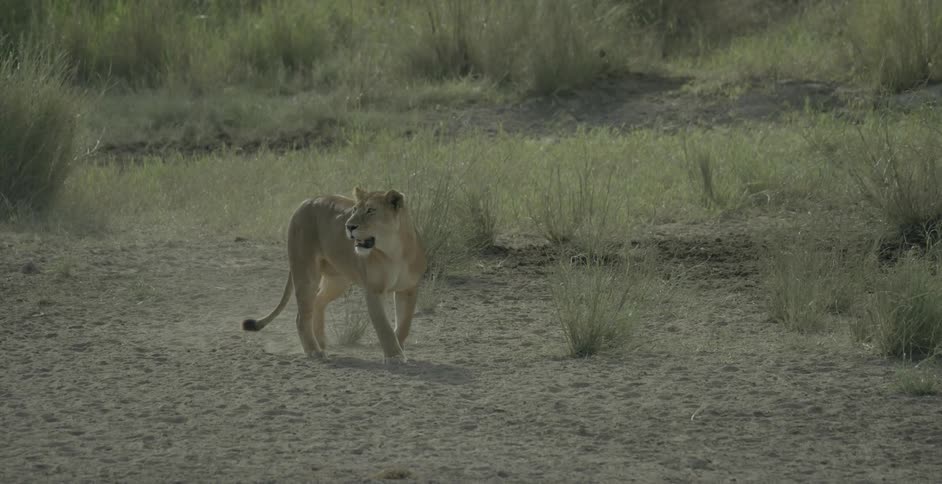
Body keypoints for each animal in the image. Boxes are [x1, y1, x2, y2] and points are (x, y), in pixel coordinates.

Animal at [242, 187, 427, 362]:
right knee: (302, 316)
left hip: (338, 280)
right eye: (354, 210)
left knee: (317, 301)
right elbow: (384, 327)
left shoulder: (409, 289)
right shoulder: (374, 290)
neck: (393, 251)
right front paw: (394, 356)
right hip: (306, 272)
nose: (349, 226)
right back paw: (314, 351)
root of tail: (306, 201)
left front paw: (399, 348)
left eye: (370, 210)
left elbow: (404, 324)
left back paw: (321, 342)